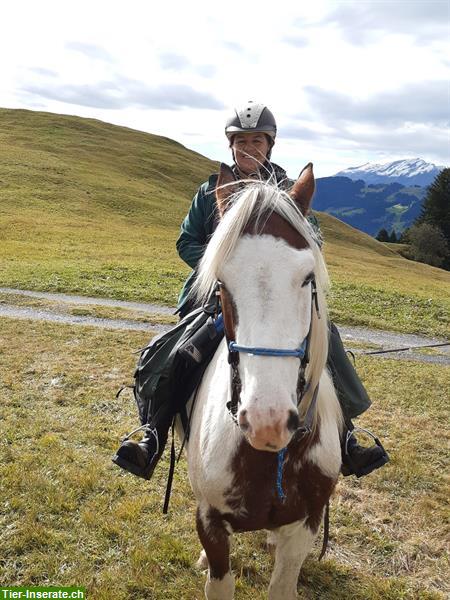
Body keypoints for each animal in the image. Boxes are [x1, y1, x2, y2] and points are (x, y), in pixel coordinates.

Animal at [181, 164, 342, 600]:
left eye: (307, 277)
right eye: (220, 283)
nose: (267, 422)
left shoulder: (306, 525)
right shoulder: (211, 522)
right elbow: (219, 577)